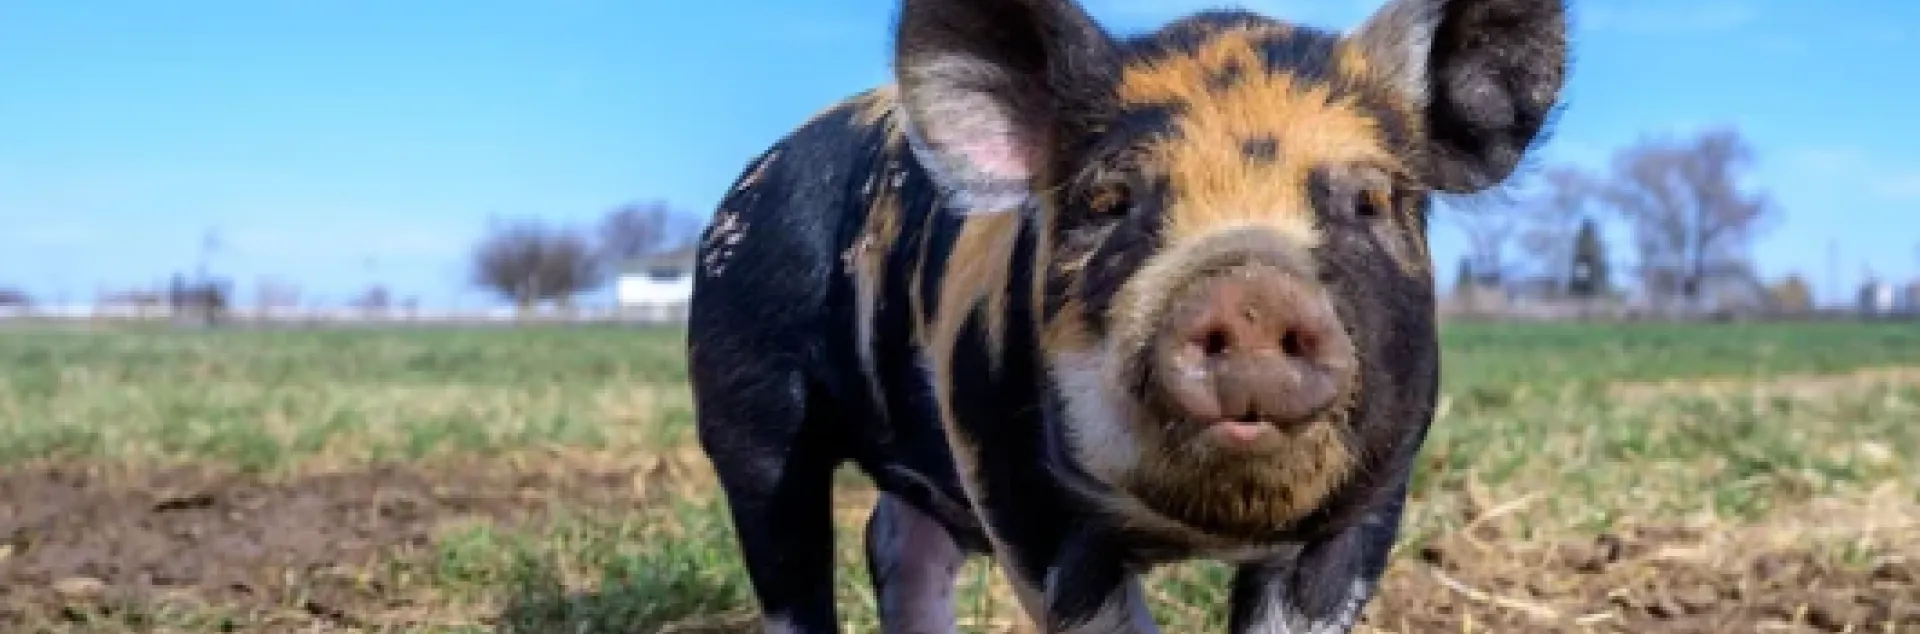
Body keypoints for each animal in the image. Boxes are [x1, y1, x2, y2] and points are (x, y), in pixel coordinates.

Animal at [686, 0, 1567, 631]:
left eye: (1372, 199)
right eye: (1109, 200)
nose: (1251, 290)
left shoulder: (1373, 504)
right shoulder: (1015, 492)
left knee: (900, 543)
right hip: (747, 404)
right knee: (795, 560)